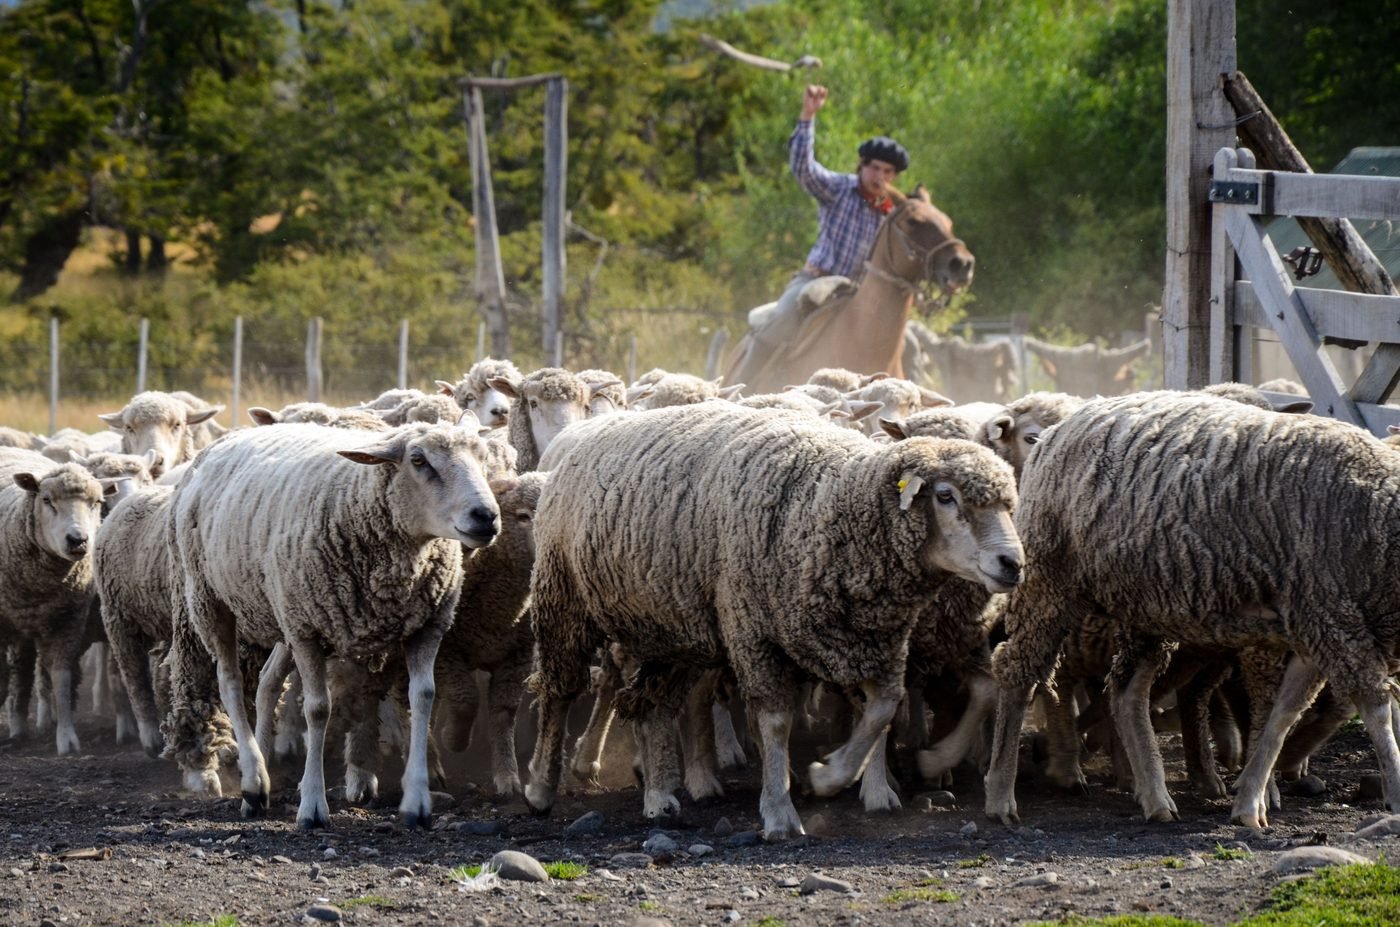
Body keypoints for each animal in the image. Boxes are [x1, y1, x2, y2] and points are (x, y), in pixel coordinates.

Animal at [0, 451, 109, 753]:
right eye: (47, 500)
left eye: (97, 503)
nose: (78, 540)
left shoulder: (67, 623)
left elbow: (61, 679)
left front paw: (66, 737)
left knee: (23, 671)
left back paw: (19, 726)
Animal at [167, 421, 501, 828]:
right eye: (419, 460)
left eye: (483, 455)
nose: (486, 516)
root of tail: (229, 436)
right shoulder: (307, 632)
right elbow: (317, 710)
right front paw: (313, 804)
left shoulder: (428, 627)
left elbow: (422, 697)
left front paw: (417, 801)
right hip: (209, 598)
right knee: (230, 684)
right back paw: (252, 781)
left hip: (282, 611)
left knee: (266, 682)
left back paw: (262, 771)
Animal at [522, 403, 1023, 838]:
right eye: (946, 496)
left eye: (1008, 505)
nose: (1013, 563)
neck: (831, 506)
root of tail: (585, 434)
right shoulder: (755, 634)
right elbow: (778, 722)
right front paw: (781, 812)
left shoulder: (870, 639)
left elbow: (884, 709)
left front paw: (833, 775)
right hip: (563, 598)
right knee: (561, 691)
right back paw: (541, 786)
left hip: (672, 627)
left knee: (650, 703)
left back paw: (660, 796)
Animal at [983, 390, 1400, 829]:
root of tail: (1070, 420)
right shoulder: (1333, 619)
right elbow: (1374, 709)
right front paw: (1395, 791)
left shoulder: (1319, 627)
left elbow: (1283, 714)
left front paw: (1249, 800)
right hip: (1048, 581)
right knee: (1017, 672)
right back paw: (1001, 793)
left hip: (1144, 606)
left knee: (1127, 691)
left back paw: (1154, 795)